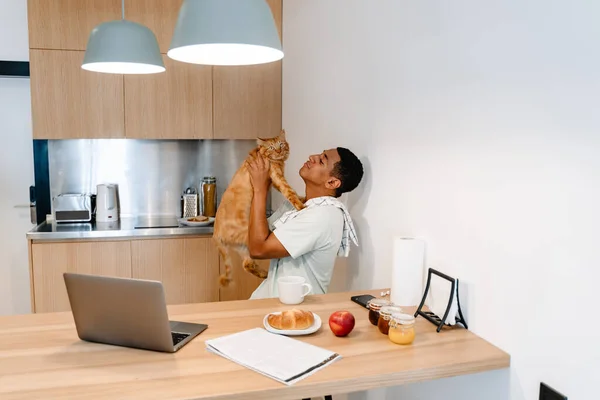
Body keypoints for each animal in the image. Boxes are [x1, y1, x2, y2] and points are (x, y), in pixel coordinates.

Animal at [212, 130, 304, 286]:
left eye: (281, 144)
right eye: (272, 147)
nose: (279, 151)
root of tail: (215, 234)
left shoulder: (275, 181)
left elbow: (292, 193)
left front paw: (303, 198)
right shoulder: (278, 178)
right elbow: (290, 192)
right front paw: (301, 206)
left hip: (243, 246)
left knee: (246, 264)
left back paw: (264, 274)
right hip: (250, 238)